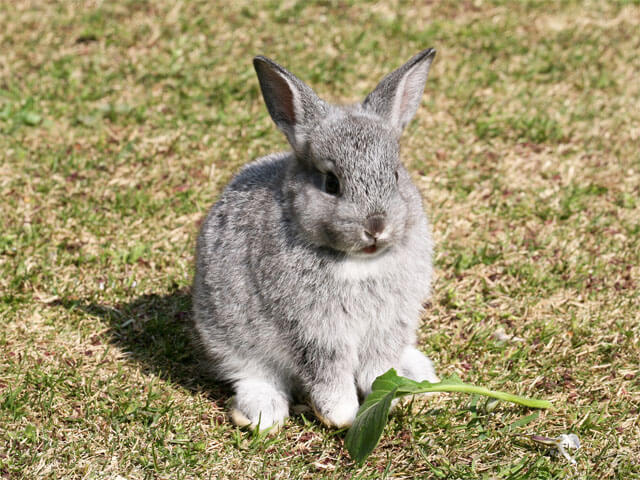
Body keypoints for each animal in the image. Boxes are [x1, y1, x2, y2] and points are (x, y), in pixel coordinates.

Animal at [191, 48, 440, 432]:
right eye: (331, 183)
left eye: (396, 175)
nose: (376, 226)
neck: (360, 260)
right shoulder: (313, 331)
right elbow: (327, 372)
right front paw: (341, 415)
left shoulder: (387, 325)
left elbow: (378, 366)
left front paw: (388, 392)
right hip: (226, 336)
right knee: (252, 375)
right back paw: (262, 414)